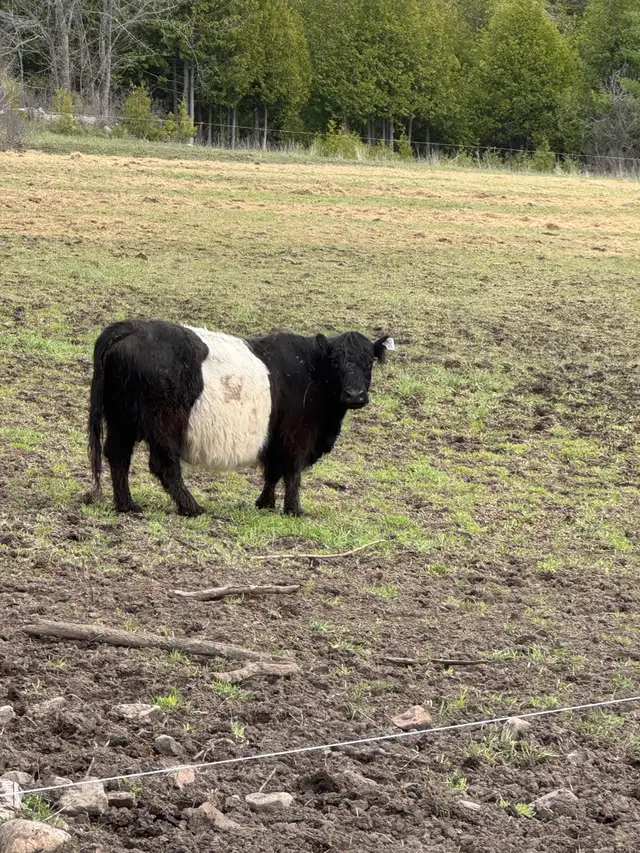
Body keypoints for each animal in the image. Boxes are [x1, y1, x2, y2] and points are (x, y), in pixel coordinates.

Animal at [88, 320, 394, 517]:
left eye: (368, 362)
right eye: (336, 362)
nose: (354, 395)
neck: (312, 370)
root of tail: (131, 327)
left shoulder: (275, 437)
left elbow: (273, 472)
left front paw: (265, 504)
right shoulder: (297, 436)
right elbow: (291, 472)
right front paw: (294, 510)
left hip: (121, 420)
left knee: (117, 456)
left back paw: (127, 505)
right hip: (164, 424)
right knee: (164, 465)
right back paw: (192, 508)